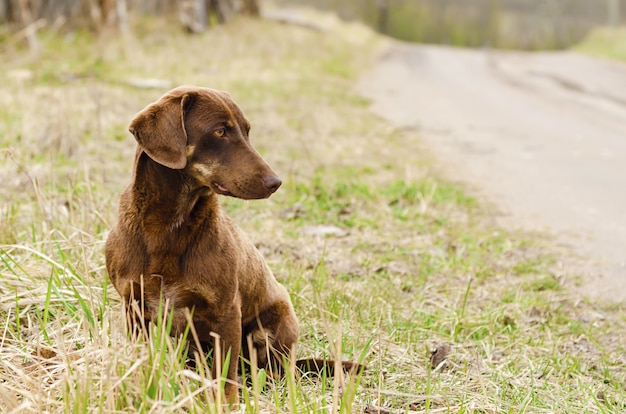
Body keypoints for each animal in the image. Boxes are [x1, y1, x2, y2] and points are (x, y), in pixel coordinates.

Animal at [103, 85, 298, 406]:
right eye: (220, 131)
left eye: (247, 131)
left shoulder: (226, 313)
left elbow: (225, 375)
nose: (276, 182)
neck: (167, 228)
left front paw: (226, 404)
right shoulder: (133, 307)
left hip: (277, 325)